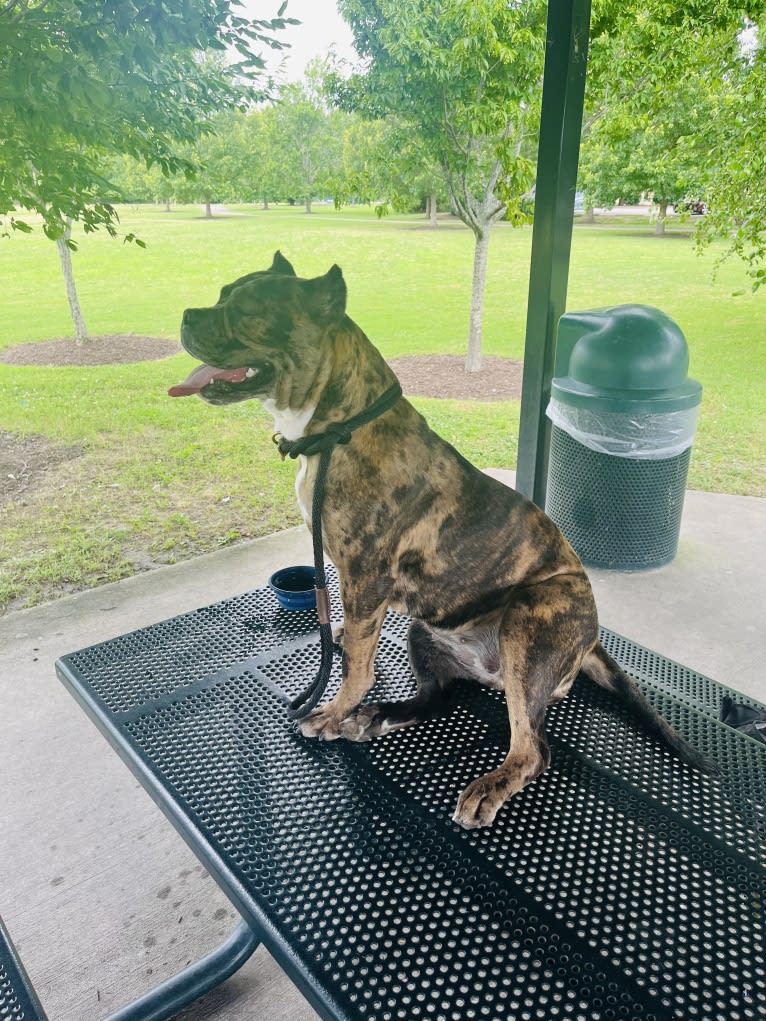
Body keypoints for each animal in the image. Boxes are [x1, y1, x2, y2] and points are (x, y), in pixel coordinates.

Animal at [169, 253, 719, 829]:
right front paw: (345, 666)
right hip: (424, 629)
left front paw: (335, 709)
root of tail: (588, 640)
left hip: (531, 618)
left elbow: (358, 665)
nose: (186, 315)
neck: (341, 426)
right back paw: (377, 717)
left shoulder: (367, 573)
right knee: (438, 701)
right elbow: (357, 639)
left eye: (247, 310)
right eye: (223, 292)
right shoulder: (350, 574)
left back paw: (484, 783)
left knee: (532, 750)